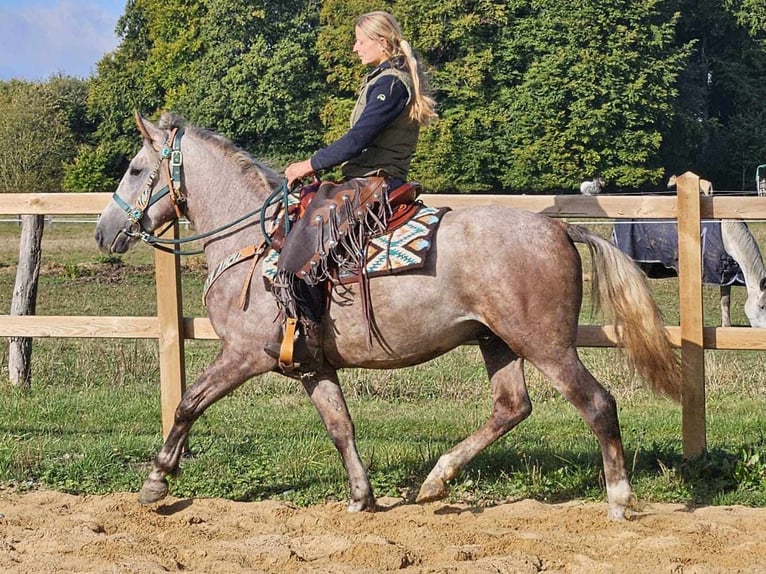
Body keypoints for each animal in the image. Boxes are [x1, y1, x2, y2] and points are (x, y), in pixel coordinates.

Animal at [96, 111, 684, 520]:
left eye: (136, 169)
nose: (105, 233)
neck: (253, 246)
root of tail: (560, 228)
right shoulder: (312, 365)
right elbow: (340, 425)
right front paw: (362, 495)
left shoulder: (244, 355)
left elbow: (187, 404)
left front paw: (156, 480)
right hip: (498, 342)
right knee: (511, 407)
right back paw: (437, 479)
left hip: (546, 345)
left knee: (598, 404)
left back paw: (618, 498)